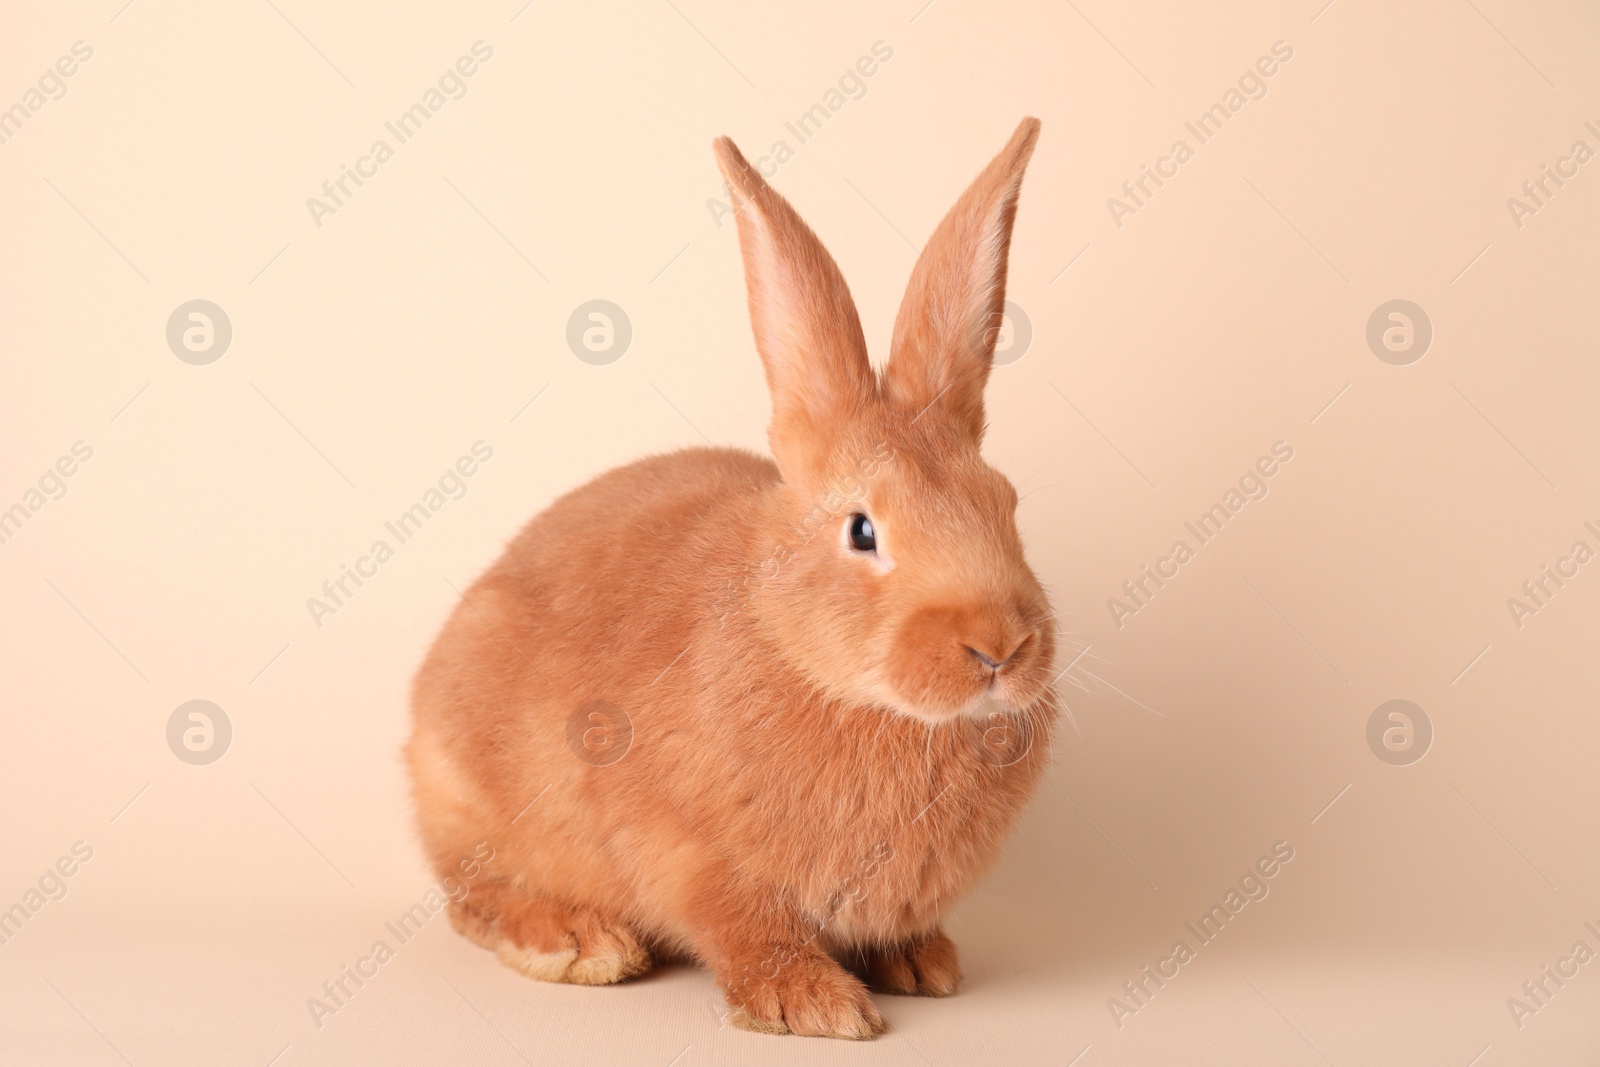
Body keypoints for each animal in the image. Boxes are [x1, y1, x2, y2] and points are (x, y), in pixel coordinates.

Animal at [409, 119, 1062, 1043]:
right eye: (863, 530)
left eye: (1005, 505)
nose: (1000, 646)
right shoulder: (685, 848)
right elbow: (743, 925)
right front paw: (812, 1003)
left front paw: (921, 962)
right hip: (468, 793)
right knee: (472, 894)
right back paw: (577, 941)